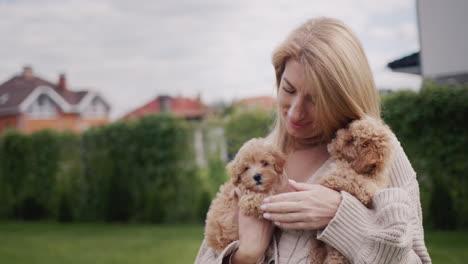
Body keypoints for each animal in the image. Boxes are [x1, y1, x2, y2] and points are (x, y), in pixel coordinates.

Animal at [310, 116, 394, 262]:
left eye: (351, 141)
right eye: (347, 128)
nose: (334, 135)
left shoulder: (366, 191)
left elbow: (347, 182)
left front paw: (325, 182)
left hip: (336, 253)